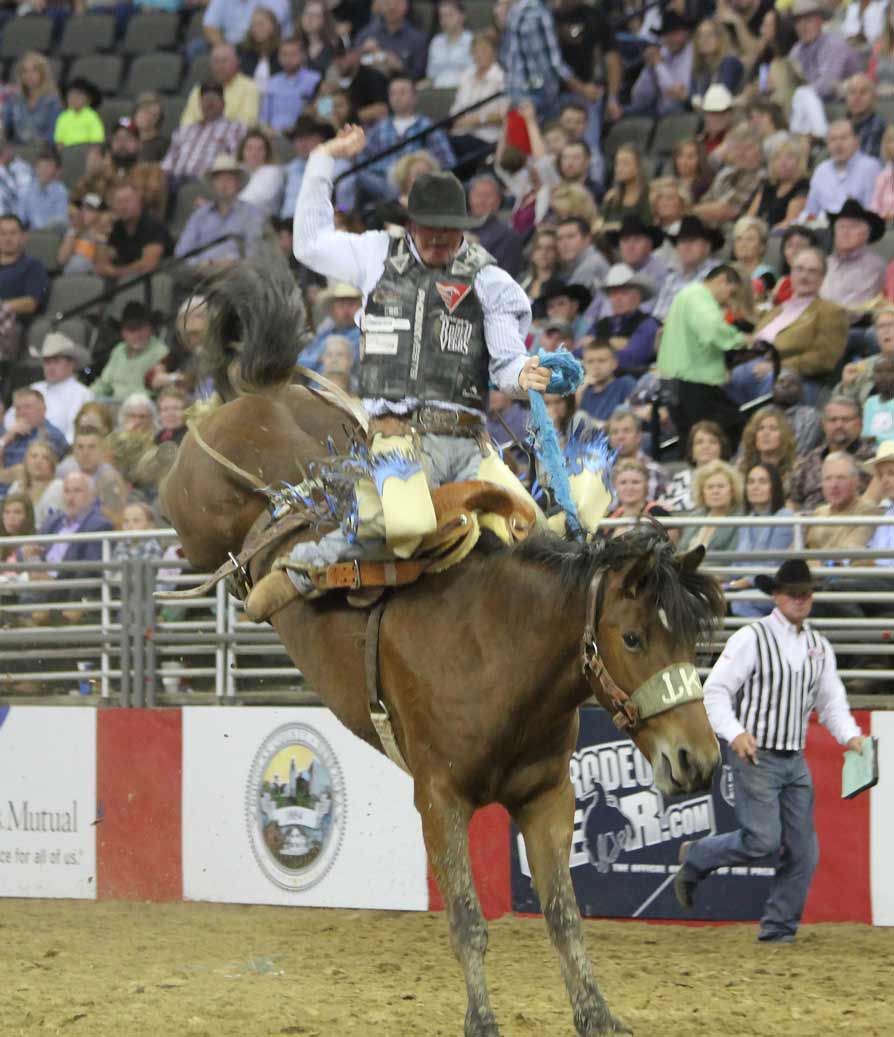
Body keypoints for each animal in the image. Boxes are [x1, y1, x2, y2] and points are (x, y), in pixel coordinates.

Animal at [160, 255, 730, 1032]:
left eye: (694, 644)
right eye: (635, 637)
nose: (698, 760)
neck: (500, 648)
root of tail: (262, 394)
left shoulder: (547, 797)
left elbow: (564, 916)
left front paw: (596, 1013)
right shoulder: (438, 796)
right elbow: (466, 917)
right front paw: (481, 1019)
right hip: (192, 510)